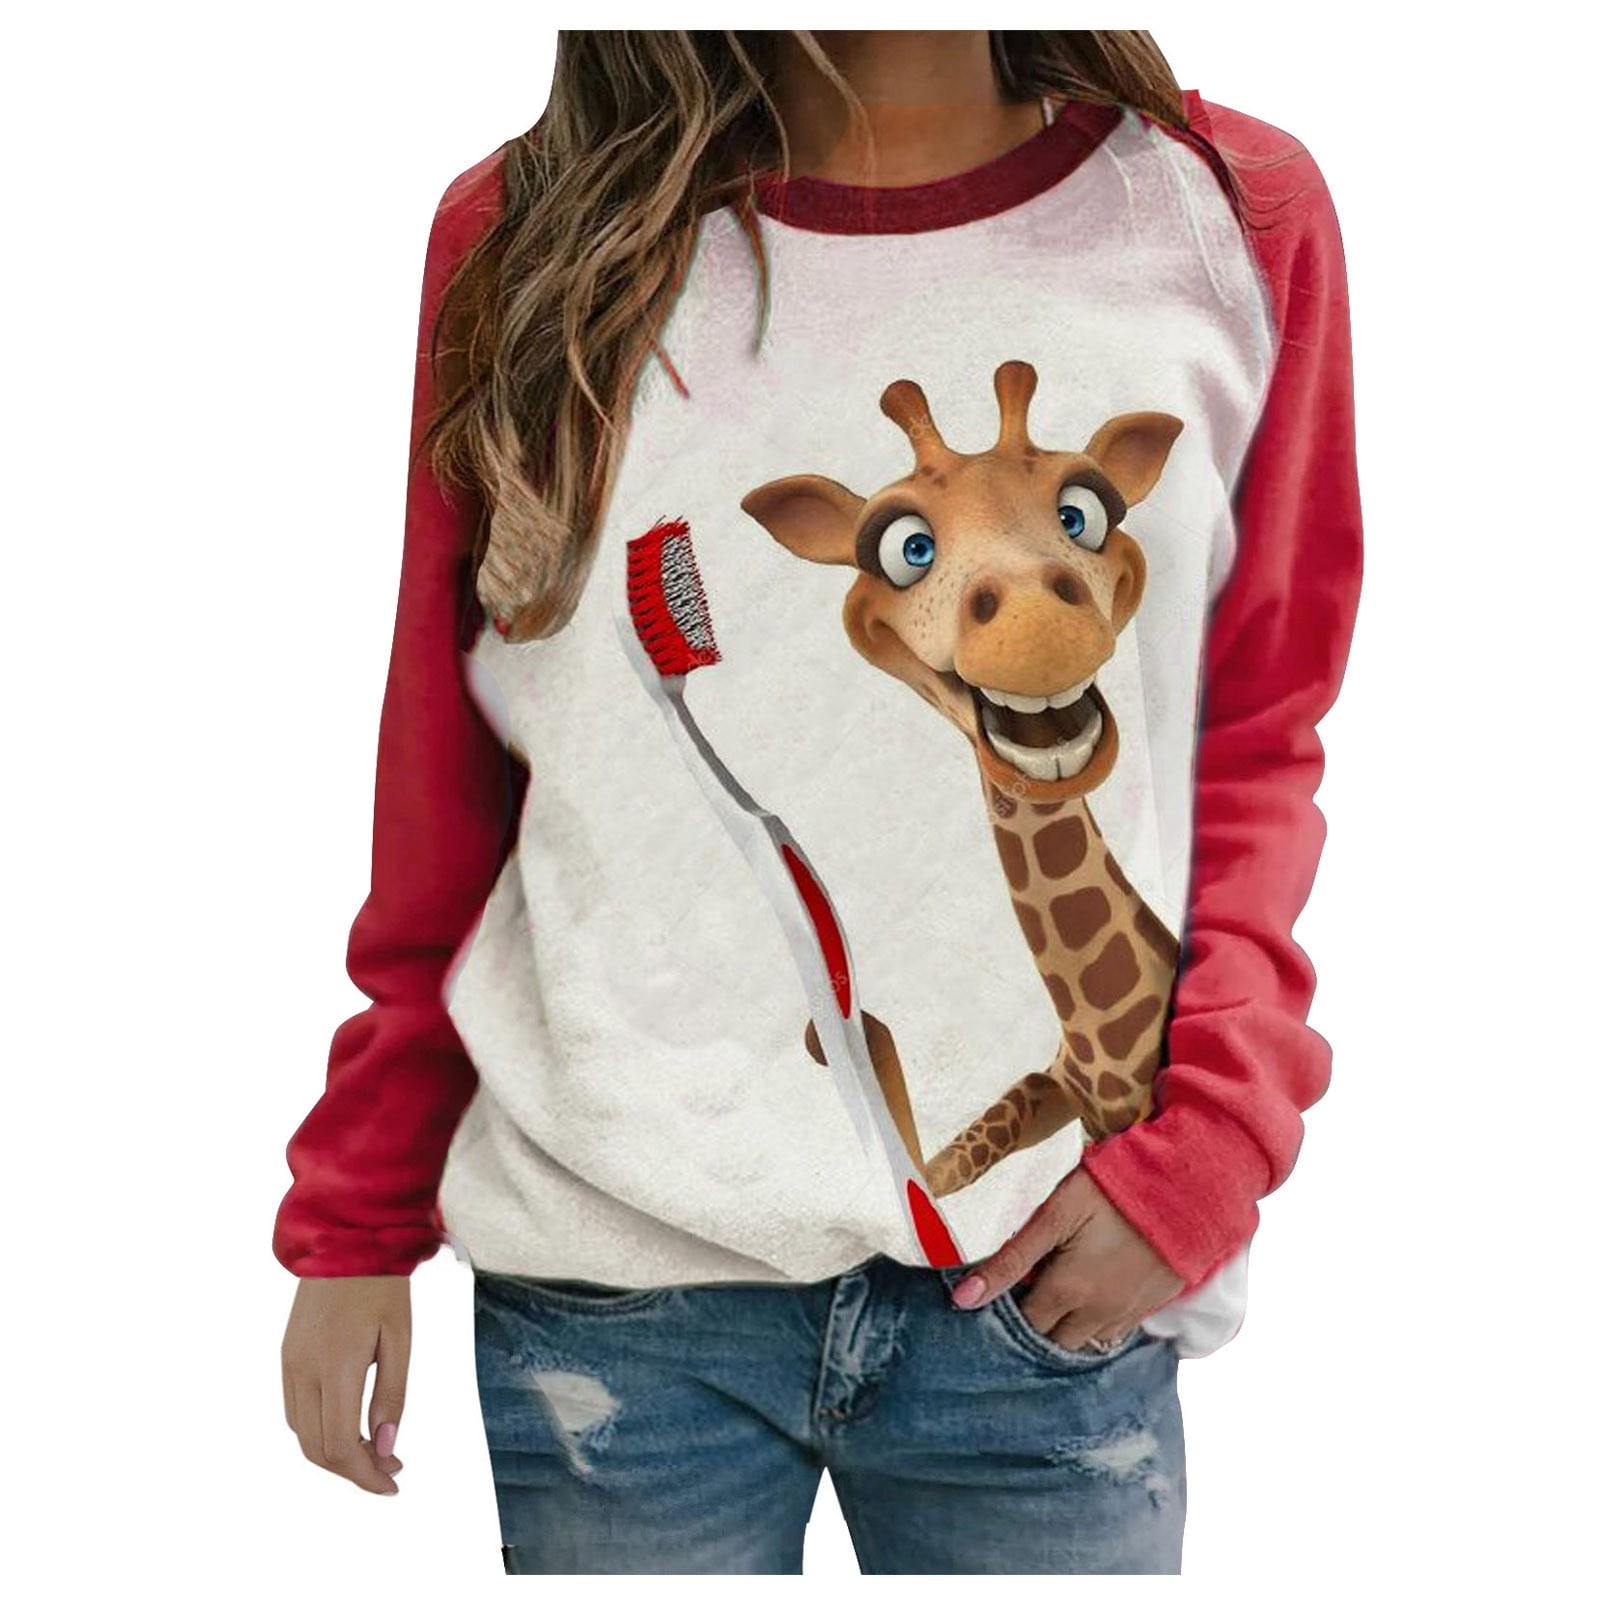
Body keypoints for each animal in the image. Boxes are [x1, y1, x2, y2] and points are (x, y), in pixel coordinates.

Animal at [740, 360, 1184, 1199]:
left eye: (1082, 513)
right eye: (907, 549)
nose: (1036, 624)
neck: (1112, 1067)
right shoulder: (1055, 1089)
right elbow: (945, 1165)